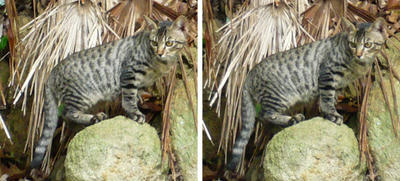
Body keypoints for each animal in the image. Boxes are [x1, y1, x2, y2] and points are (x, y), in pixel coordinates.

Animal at [31, 15, 188, 168]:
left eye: (169, 43)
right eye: (154, 43)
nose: (160, 53)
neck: (159, 65)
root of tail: (53, 71)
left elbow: (134, 92)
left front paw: (139, 97)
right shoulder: (129, 72)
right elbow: (128, 97)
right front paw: (135, 113)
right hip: (80, 95)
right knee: (68, 113)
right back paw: (93, 118)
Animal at [228, 17, 388, 170]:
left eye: (368, 44)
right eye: (353, 44)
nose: (359, 54)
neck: (356, 65)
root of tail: (249, 74)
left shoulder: (340, 85)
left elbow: (329, 99)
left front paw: (326, 113)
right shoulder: (327, 74)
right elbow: (327, 99)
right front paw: (332, 115)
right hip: (279, 96)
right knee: (264, 114)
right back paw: (292, 119)